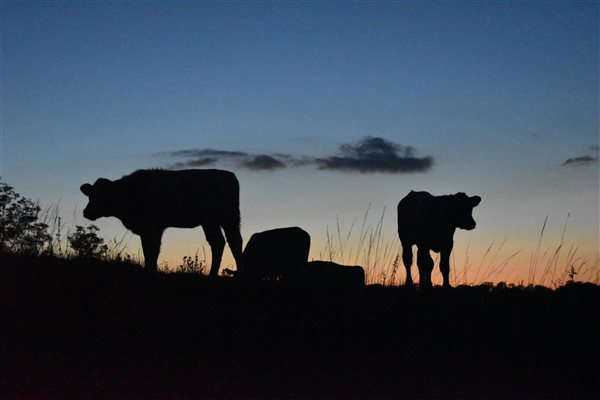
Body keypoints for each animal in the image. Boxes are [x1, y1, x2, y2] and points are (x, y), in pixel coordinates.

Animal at [80, 167, 244, 276]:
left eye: (102, 195)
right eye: (90, 195)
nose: (86, 212)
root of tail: (230, 175)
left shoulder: (153, 228)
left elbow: (152, 252)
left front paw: (151, 273)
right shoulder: (146, 230)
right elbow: (148, 252)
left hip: (229, 216)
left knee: (235, 241)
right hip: (210, 221)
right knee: (218, 242)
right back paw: (212, 274)